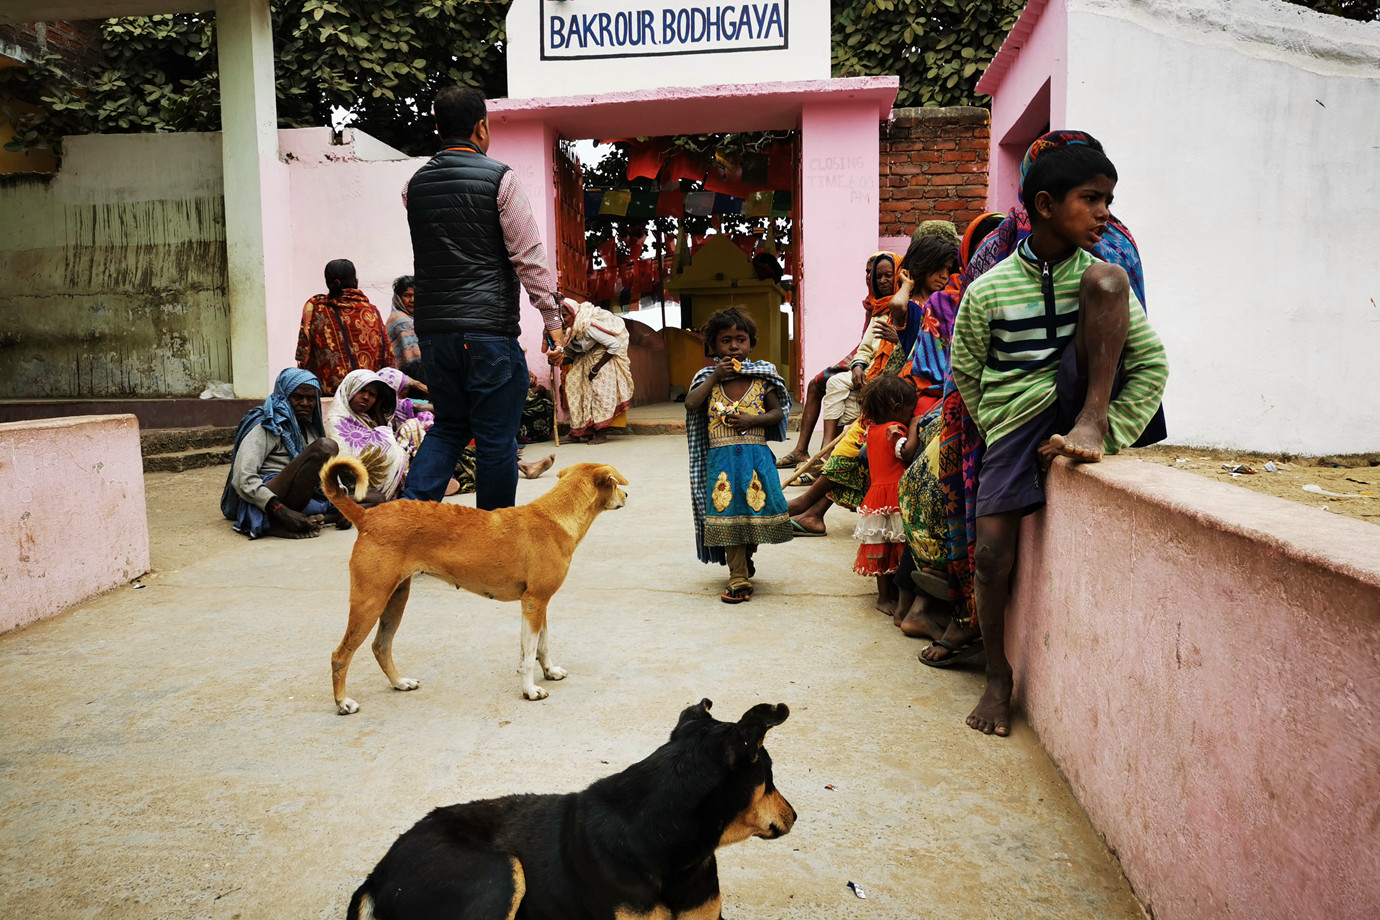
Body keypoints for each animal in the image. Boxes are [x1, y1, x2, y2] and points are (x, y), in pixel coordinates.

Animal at [317, 455, 626, 711]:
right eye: (615, 483)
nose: (627, 494)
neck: (555, 518)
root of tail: (367, 515)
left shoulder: (540, 603)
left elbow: (542, 646)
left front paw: (549, 672)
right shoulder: (533, 603)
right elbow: (527, 656)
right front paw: (530, 690)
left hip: (396, 597)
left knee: (381, 646)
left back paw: (400, 682)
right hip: (369, 601)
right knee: (340, 654)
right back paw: (342, 702)